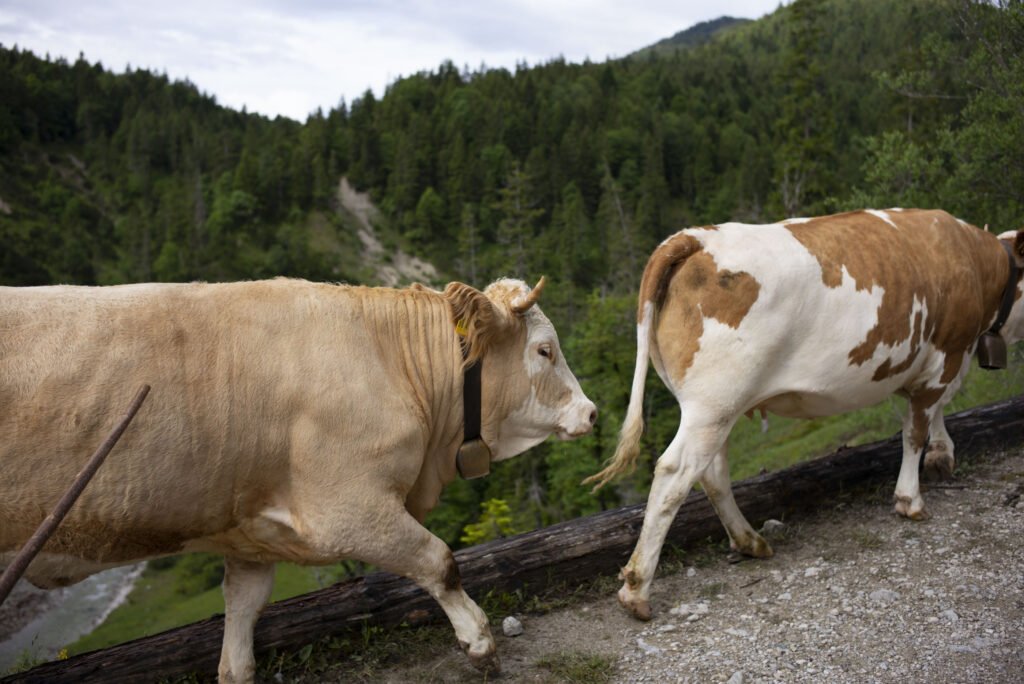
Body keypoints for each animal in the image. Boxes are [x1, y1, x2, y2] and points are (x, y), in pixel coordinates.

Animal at [0, 276, 598, 679]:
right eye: (544, 350)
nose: (591, 412)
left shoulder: (250, 535)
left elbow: (239, 634)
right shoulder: (349, 510)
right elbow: (440, 562)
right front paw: (479, 644)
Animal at [585, 208, 1024, 618]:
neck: (974, 259)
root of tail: (694, 237)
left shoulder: (933, 366)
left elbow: (935, 412)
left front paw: (942, 452)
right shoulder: (947, 354)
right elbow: (914, 430)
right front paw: (910, 499)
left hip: (716, 408)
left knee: (712, 473)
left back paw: (750, 542)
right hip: (715, 402)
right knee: (676, 473)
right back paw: (637, 589)